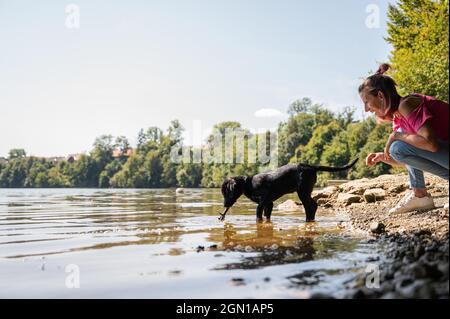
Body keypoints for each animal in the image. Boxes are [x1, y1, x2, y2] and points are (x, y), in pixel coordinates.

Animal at [220, 159, 356, 222]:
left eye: (227, 192)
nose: (225, 205)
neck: (249, 184)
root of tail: (312, 167)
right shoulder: (269, 204)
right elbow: (267, 216)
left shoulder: (262, 203)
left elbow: (259, 216)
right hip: (306, 191)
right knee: (313, 205)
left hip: (302, 191)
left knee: (310, 206)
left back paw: (308, 220)